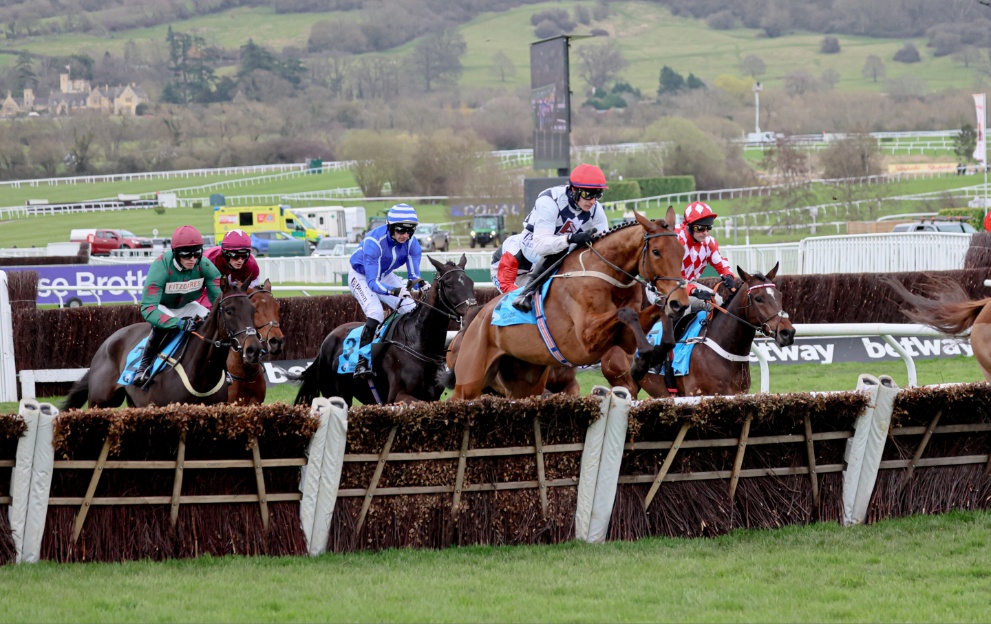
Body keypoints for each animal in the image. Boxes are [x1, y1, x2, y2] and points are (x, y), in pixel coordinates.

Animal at [60, 278, 264, 410]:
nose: (253, 349)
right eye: (229, 311)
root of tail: (106, 343)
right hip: (100, 401)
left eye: (253, 310)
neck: (200, 373)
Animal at [290, 256, 476, 408]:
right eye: (449, 284)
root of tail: (325, 342)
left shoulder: (432, 396)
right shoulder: (397, 396)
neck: (419, 344)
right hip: (336, 395)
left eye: (471, 282)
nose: (472, 310)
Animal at [452, 207, 688, 398]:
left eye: (682, 251)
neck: (605, 273)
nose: (680, 302)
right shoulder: (585, 339)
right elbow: (625, 313)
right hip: (469, 381)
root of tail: (478, 317)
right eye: (656, 252)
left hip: (525, 382)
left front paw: (654, 354)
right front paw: (641, 362)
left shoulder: (625, 338)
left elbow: (656, 315)